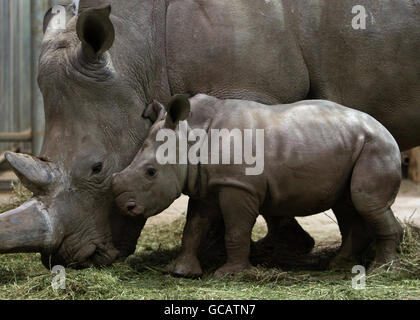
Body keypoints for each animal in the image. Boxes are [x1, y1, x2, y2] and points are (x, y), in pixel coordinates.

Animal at [111, 94, 404, 278]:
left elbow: (236, 230)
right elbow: (193, 228)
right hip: (352, 145)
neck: (190, 135)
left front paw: (228, 274)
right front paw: (179, 271)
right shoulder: (207, 186)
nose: (125, 207)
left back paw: (381, 269)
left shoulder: (238, 186)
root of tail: (386, 130)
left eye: (150, 172)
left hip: (377, 147)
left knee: (366, 201)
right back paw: (337, 265)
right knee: (346, 205)